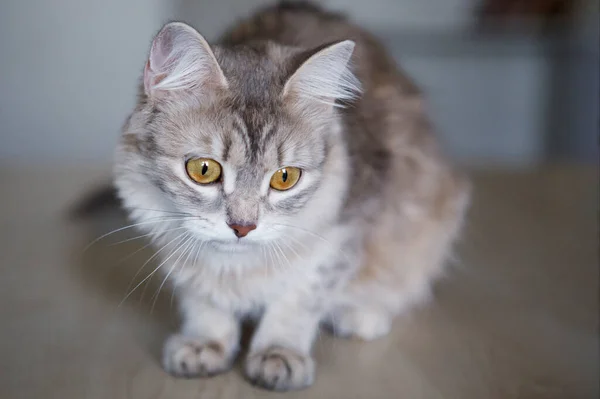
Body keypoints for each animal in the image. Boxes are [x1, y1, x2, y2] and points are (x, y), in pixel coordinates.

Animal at [112, 0, 468, 394]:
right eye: (203, 170)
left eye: (285, 178)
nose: (243, 227)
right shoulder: (171, 239)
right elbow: (204, 299)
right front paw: (206, 342)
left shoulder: (343, 231)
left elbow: (297, 303)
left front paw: (278, 353)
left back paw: (361, 315)